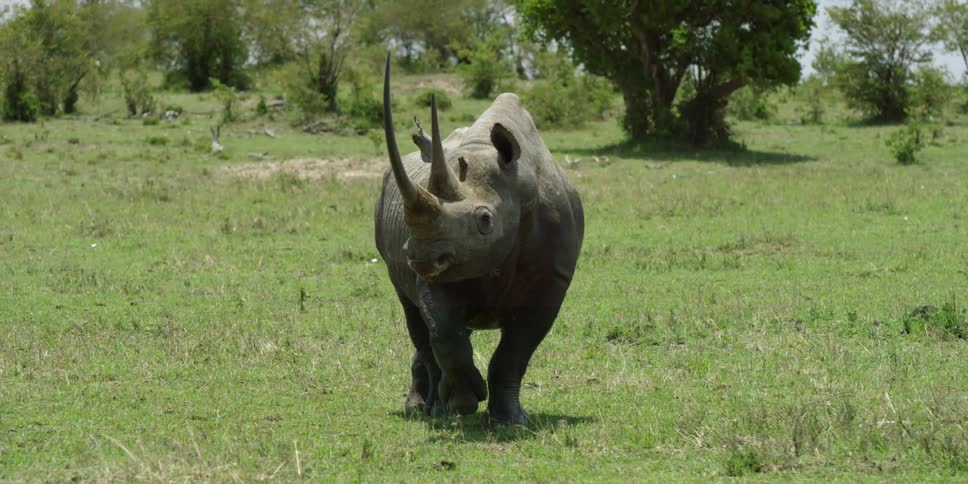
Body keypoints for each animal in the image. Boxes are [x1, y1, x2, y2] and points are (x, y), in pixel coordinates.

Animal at [374, 54, 584, 425]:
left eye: (486, 220)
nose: (420, 257)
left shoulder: (552, 277)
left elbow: (516, 351)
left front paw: (510, 421)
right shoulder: (444, 268)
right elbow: (445, 333)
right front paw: (464, 401)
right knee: (417, 319)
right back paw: (429, 409)